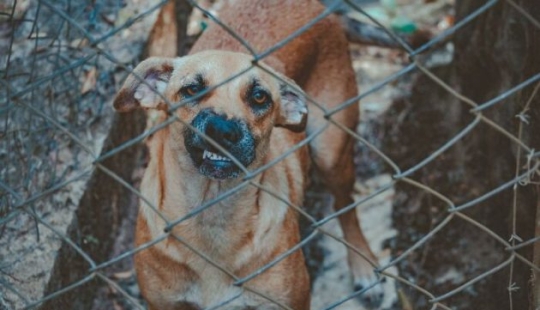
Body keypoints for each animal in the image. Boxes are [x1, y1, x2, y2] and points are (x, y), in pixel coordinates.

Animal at [113, 0, 382, 310]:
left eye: (259, 97)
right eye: (192, 89)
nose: (222, 130)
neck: (212, 213)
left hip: (331, 152)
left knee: (346, 206)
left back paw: (363, 265)